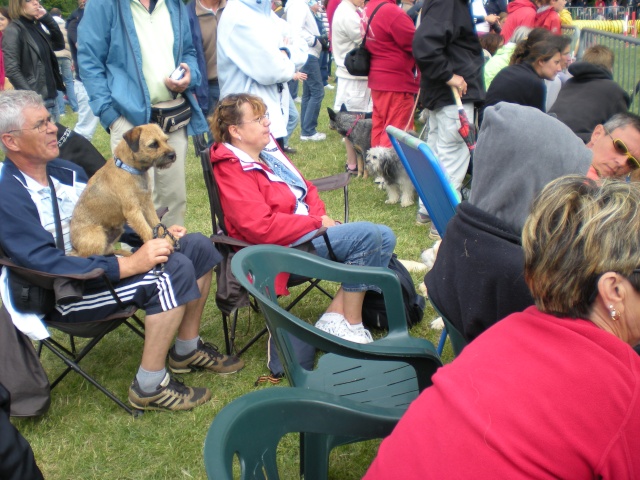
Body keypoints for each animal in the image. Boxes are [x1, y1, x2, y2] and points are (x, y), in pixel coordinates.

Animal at [70, 125, 178, 256]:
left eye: (166, 140)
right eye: (153, 144)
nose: (173, 155)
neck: (128, 169)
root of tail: (74, 249)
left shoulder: (147, 205)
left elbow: (157, 224)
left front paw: (168, 240)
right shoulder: (133, 211)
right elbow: (147, 231)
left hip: (117, 230)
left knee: (109, 251)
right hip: (98, 236)